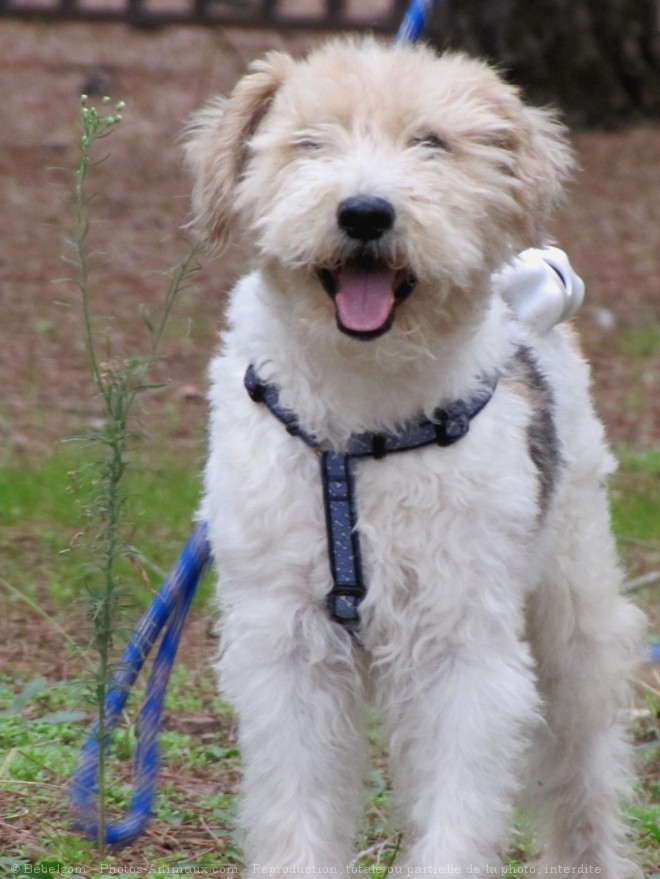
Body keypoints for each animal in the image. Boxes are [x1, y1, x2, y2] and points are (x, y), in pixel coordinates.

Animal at [184, 36, 644, 879]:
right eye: (311, 141)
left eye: (432, 142)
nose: (365, 212)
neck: (361, 422)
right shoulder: (287, 647)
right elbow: (297, 809)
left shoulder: (462, 646)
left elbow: (459, 811)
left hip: (573, 611)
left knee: (584, 767)